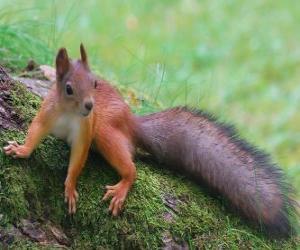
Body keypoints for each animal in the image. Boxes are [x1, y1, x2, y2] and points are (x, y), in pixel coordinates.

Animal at [2, 44, 298, 237]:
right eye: (68, 88)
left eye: (96, 83)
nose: (89, 106)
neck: (69, 114)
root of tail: (131, 122)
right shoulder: (46, 115)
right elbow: (35, 132)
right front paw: (21, 150)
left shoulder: (86, 132)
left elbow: (78, 160)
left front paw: (71, 186)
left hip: (105, 133)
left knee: (131, 168)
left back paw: (122, 188)